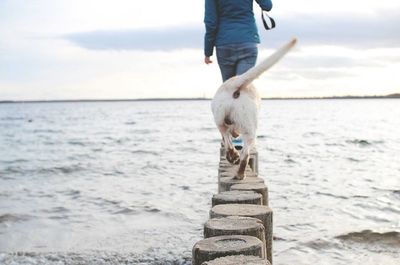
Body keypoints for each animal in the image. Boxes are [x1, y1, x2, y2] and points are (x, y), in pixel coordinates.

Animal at [212, 38, 296, 178]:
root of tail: (235, 86)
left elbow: (229, 140)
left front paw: (232, 156)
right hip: (249, 128)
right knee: (245, 154)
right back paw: (240, 174)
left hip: (222, 121)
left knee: (235, 146)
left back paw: (237, 168)